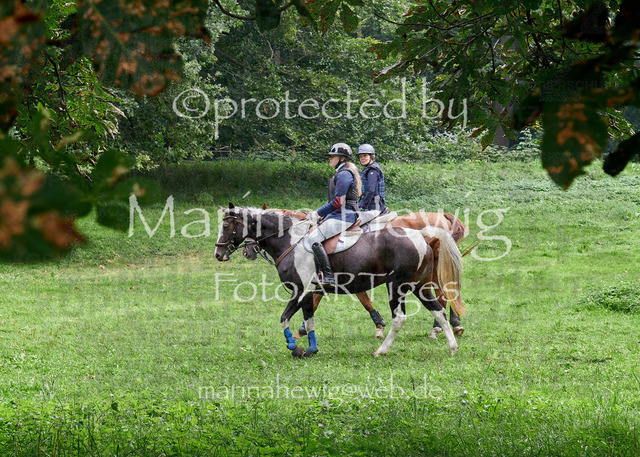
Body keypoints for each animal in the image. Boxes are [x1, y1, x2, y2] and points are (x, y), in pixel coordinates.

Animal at [215, 204, 465, 358]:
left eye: (226, 226)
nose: (218, 254)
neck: (290, 240)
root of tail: (422, 235)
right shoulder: (310, 292)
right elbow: (310, 320)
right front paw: (311, 349)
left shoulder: (300, 290)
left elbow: (284, 318)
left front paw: (293, 346)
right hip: (419, 286)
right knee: (438, 310)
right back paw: (452, 346)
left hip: (397, 287)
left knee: (401, 318)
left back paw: (381, 350)